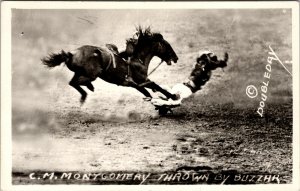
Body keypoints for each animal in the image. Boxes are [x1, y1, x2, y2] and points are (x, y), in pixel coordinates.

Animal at [41, 27, 178, 103]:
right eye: (167, 45)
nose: (176, 58)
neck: (138, 60)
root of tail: (71, 54)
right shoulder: (142, 81)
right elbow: (156, 86)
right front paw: (173, 96)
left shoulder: (137, 85)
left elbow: (148, 92)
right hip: (92, 74)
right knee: (76, 82)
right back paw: (88, 90)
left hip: (80, 73)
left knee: (72, 82)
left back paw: (87, 90)